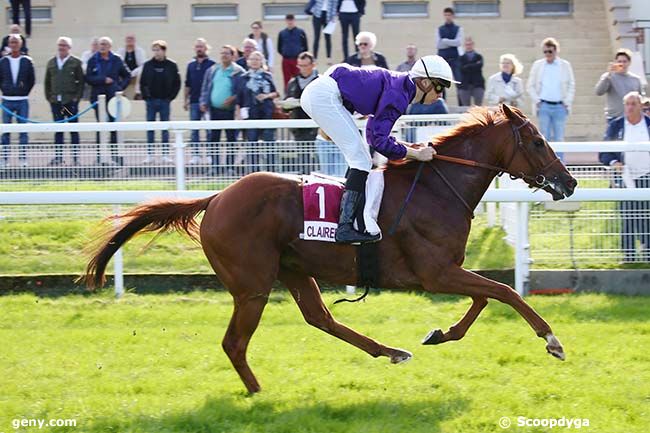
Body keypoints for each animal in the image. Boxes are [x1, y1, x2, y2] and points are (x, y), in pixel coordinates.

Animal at [83, 104, 576, 392]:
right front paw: (552, 340)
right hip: (253, 284)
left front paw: (440, 333)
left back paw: (391, 351)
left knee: (319, 318)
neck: (437, 187)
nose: (569, 182)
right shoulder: (435, 273)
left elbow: (485, 297)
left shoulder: (444, 271)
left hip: (295, 268)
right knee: (235, 343)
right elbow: (504, 292)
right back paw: (258, 392)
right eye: (537, 141)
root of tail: (217, 197)